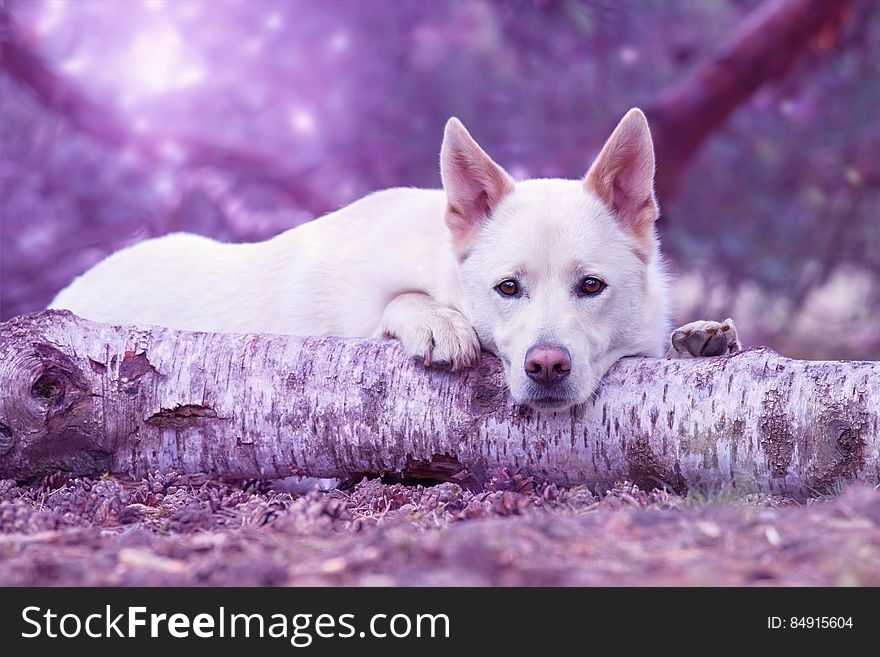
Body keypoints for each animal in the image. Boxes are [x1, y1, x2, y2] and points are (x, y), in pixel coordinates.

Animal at [51, 110, 740, 410]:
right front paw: (435, 321)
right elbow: (399, 302)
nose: (546, 366)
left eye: (591, 286)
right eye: (507, 288)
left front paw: (699, 340)